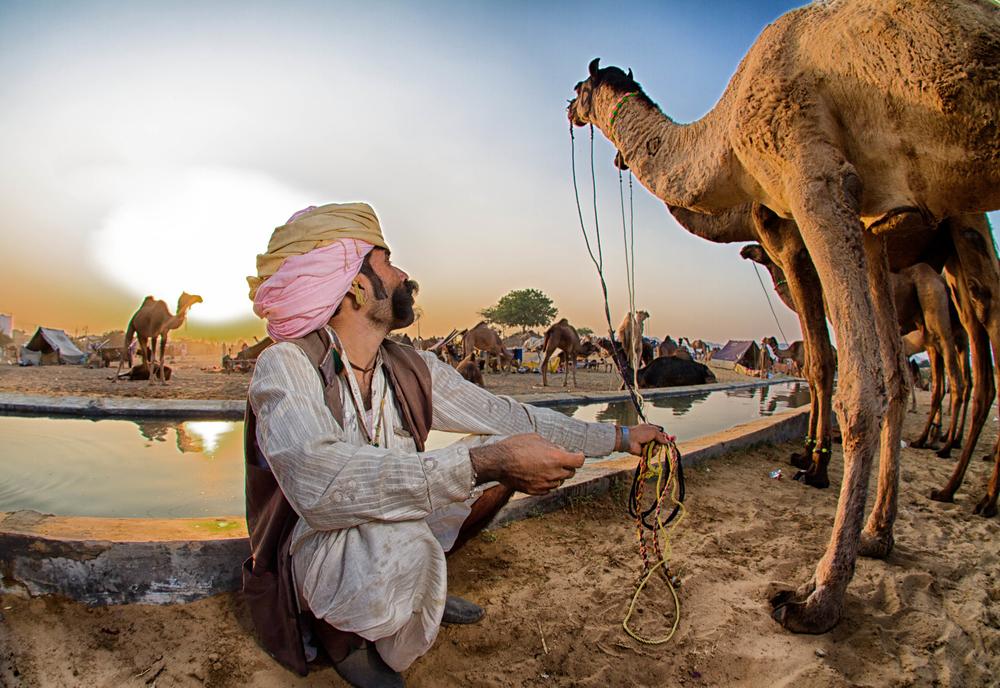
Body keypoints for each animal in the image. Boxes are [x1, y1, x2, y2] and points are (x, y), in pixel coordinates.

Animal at [568, 0, 1000, 633]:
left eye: (579, 88)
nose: (568, 109)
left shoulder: (809, 186)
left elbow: (847, 379)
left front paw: (817, 594)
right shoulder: (870, 220)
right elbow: (875, 375)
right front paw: (859, 516)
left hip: (955, 240)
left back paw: (964, 491)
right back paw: (915, 506)